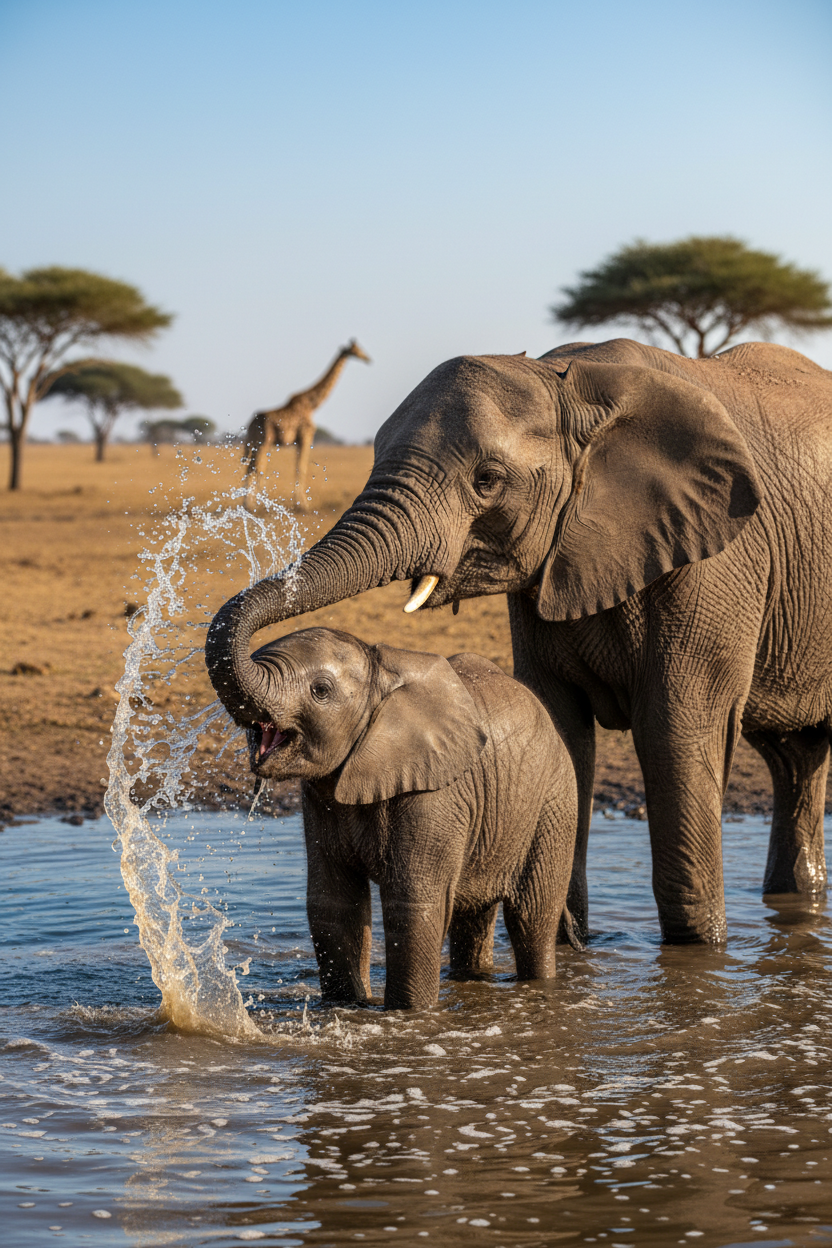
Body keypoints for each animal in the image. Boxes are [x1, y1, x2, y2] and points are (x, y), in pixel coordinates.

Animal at [206, 337, 832, 946]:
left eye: (487, 480)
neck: (572, 380)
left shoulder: (718, 559)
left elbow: (677, 730)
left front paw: (698, 952)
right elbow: (559, 723)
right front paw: (570, 946)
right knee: (796, 757)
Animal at [235, 627, 578, 1009]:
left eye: (320, 690)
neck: (382, 679)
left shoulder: (435, 793)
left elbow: (412, 908)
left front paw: (411, 1015)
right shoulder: (320, 800)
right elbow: (333, 903)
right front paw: (346, 1007)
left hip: (554, 802)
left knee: (531, 917)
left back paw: (540, 983)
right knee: (472, 916)